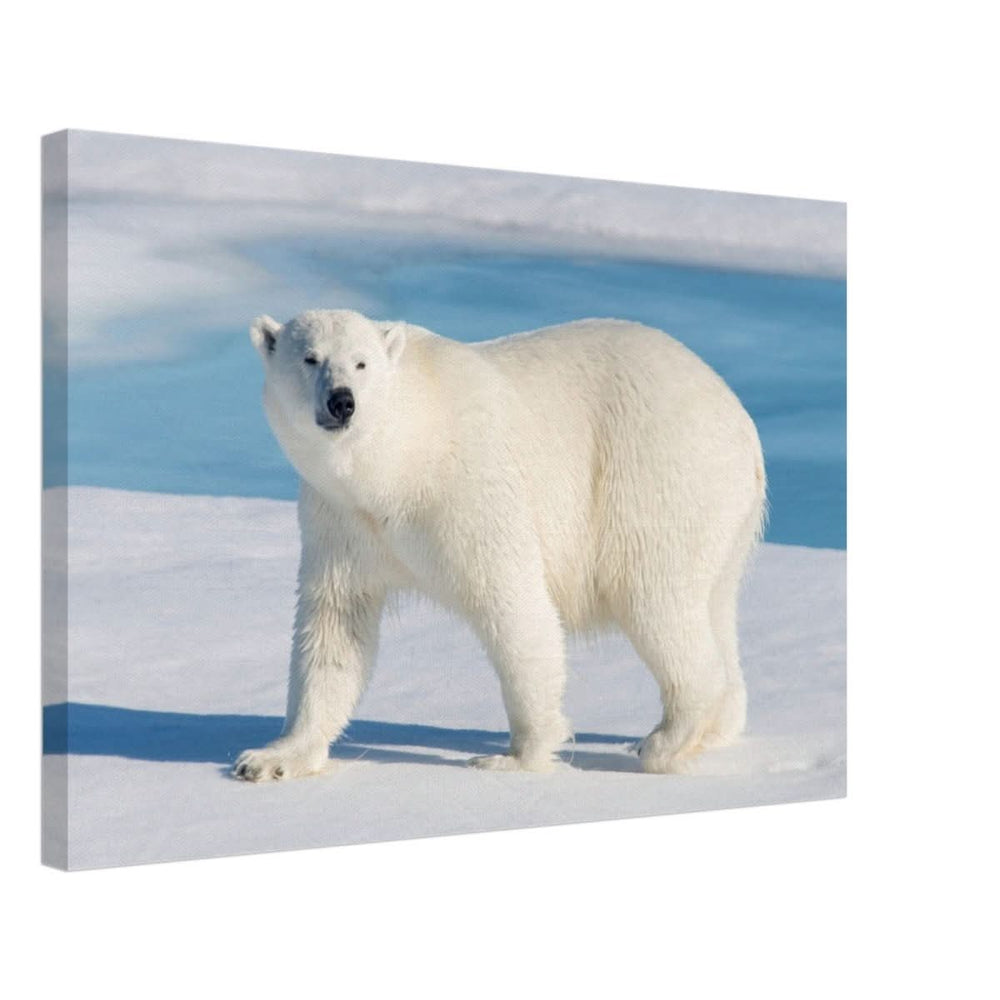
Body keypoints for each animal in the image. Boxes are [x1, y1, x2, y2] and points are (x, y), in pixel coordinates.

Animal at [233, 309, 766, 781]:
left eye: (361, 362)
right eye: (310, 358)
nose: (342, 401)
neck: (400, 460)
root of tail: (740, 419)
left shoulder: (468, 487)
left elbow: (513, 605)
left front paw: (516, 757)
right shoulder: (342, 520)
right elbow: (335, 626)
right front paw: (271, 758)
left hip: (655, 473)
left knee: (654, 597)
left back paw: (664, 740)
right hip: (723, 518)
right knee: (714, 606)